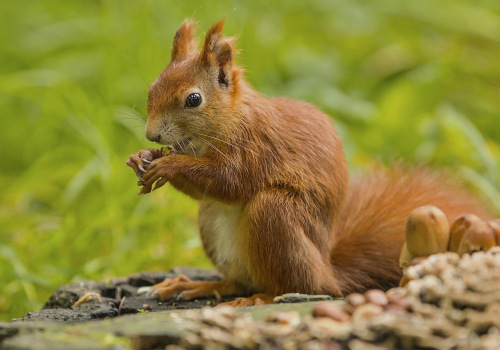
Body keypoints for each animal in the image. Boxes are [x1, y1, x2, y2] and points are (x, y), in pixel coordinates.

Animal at [126, 20, 492, 304]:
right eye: (152, 89)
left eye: (193, 99)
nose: (151, 135)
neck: (229, 119)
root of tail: (328, 272)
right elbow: (204, 190)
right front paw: (141, 159)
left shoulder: (257, 147)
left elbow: (231, 182)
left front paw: (167, 165)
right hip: (212, 224)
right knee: (239, 281)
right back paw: (198, 285)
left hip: (275, 216)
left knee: (295, 286)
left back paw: (260, 298)